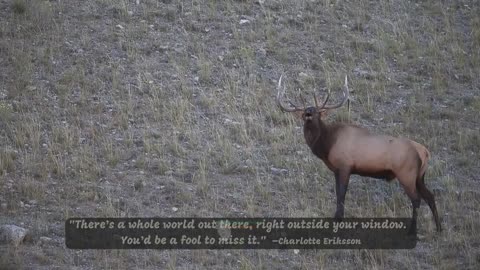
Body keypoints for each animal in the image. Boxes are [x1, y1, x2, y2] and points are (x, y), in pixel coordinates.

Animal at [276, 74, 440, 234]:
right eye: (305, 112)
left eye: (318, 112)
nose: (309, 113)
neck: (327, 145)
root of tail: (424, 152)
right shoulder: (336, 170)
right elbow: (338, 193)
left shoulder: (345, 166)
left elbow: (341, 194)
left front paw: (339, 219)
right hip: (419, 177)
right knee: (430, 196)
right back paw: (439, 227)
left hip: (406, 174)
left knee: (417, 199)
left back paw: (413, 230)